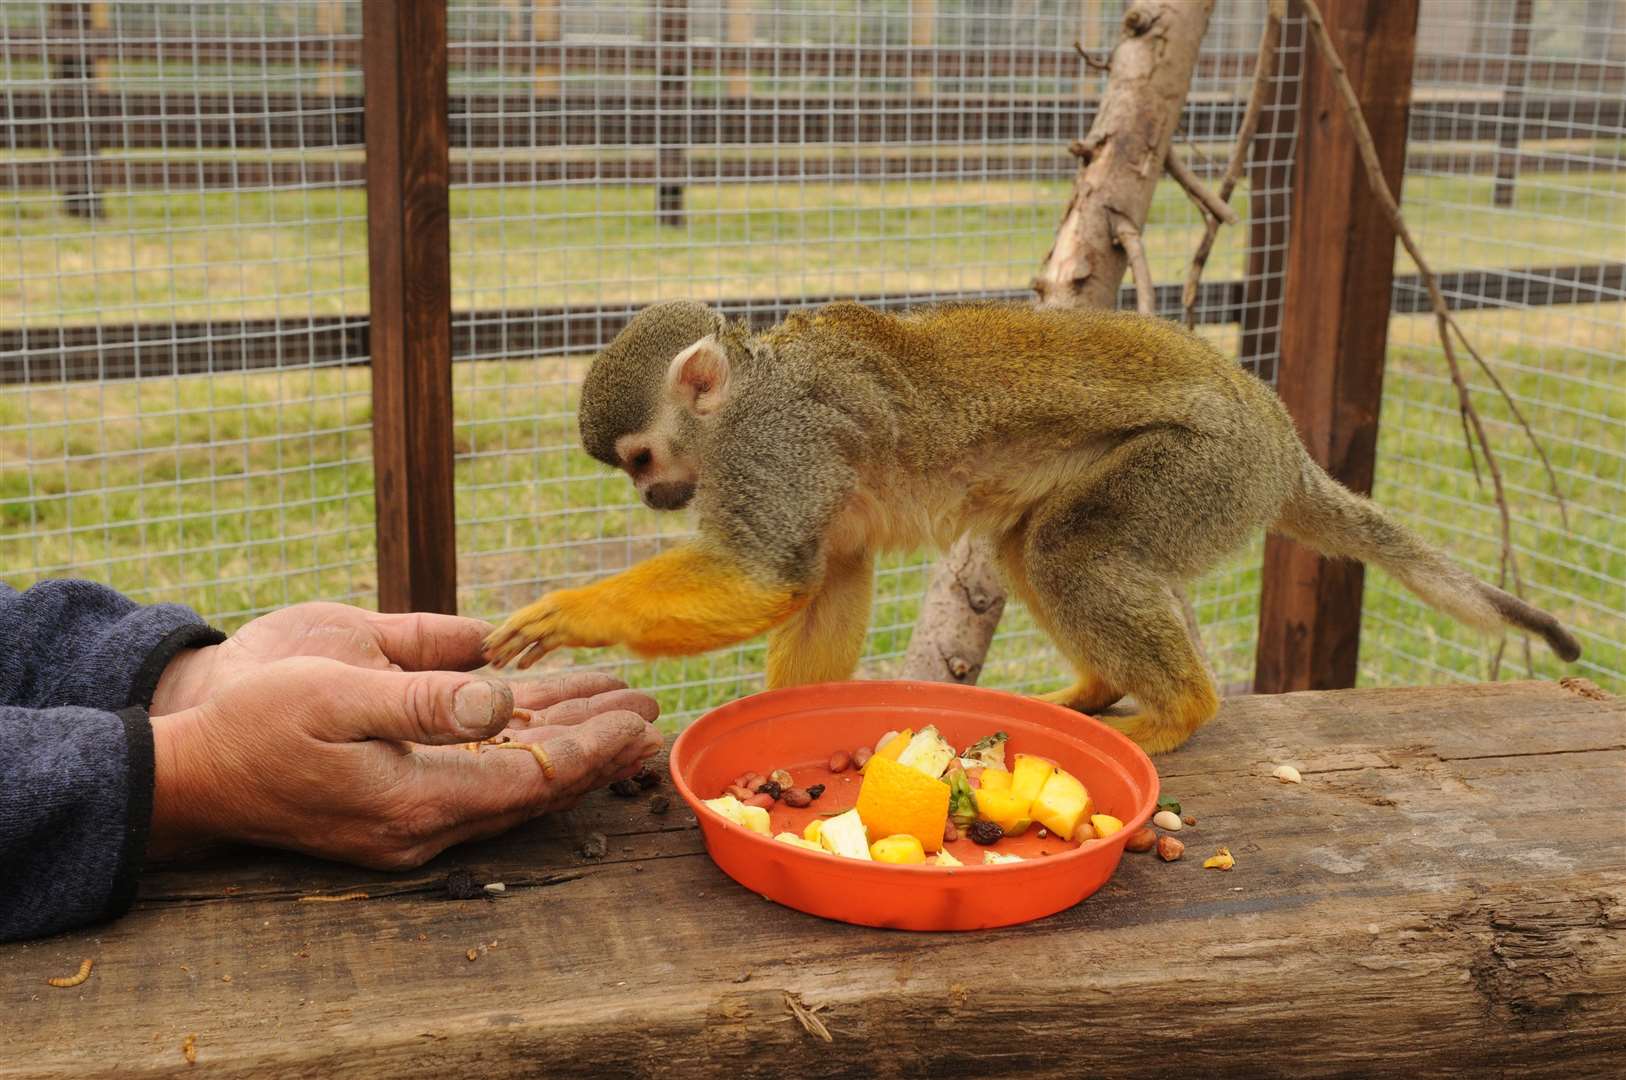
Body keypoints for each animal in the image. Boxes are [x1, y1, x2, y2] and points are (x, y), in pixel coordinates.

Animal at [481, 296, 1573, 751]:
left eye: (640, 461)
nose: (651, 499)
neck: (748, 390)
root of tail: (1281, 435)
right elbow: (827, 578)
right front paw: (771, 724)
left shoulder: (773, 443)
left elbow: (769, 577)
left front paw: (572, 611)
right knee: (1029, 546)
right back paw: (1099, 691)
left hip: (1204, 467)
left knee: (1066, 549)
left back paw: (1178, 711)